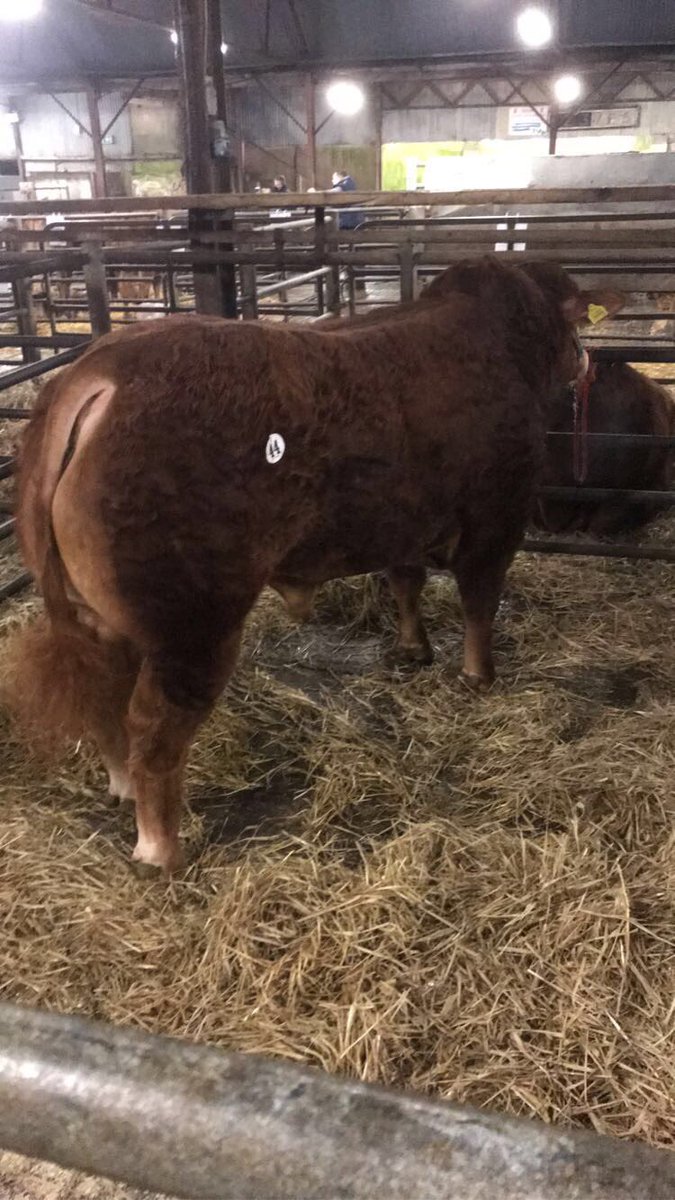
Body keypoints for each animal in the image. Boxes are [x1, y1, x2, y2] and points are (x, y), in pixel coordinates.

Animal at [8, 257, 621, 875]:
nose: (586, 360)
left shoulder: (402, 522)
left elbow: (406, 581)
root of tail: (101, 371)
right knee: (154, 729)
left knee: (101, 695)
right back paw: (162, 849)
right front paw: (479, 676)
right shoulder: (497, 519)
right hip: (195, 626)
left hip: (94, 615)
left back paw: (121, 786)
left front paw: (413, 648)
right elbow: (479, 603)